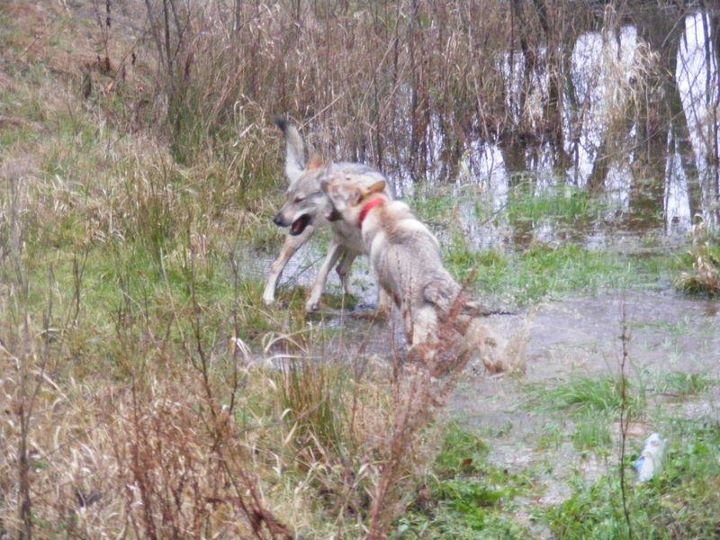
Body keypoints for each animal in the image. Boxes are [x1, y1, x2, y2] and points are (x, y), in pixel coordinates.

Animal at [263, 119, 392, 314]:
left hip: (353, 248)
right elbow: (322, 273)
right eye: (288, 197)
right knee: (276, 266)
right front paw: (312, 302)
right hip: (301, 239)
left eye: (299, 200)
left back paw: (350, 295)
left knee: (342, 269)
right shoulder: (337, 242)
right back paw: (269, 297)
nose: (276, 220)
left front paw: (383, 310)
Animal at [321, 172, 505, 372]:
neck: (378, 207)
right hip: (464, 317)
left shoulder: (389, 288)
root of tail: (432, 286)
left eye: (337, 188)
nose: (324, 180)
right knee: (484, 337)